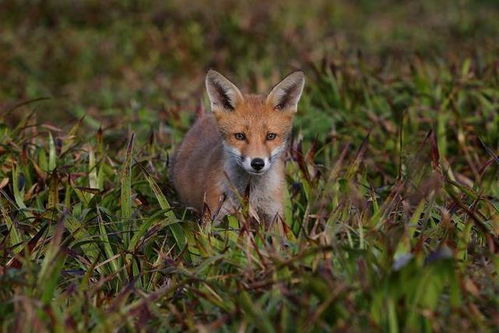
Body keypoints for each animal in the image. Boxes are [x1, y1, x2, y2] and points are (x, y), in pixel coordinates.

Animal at [171, 69, 304, 223]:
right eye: (240, 136)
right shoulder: (213, 215)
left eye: (270, 136)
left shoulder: (274, 215)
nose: (257, 163)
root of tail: (203, 118)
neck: (251, 194)